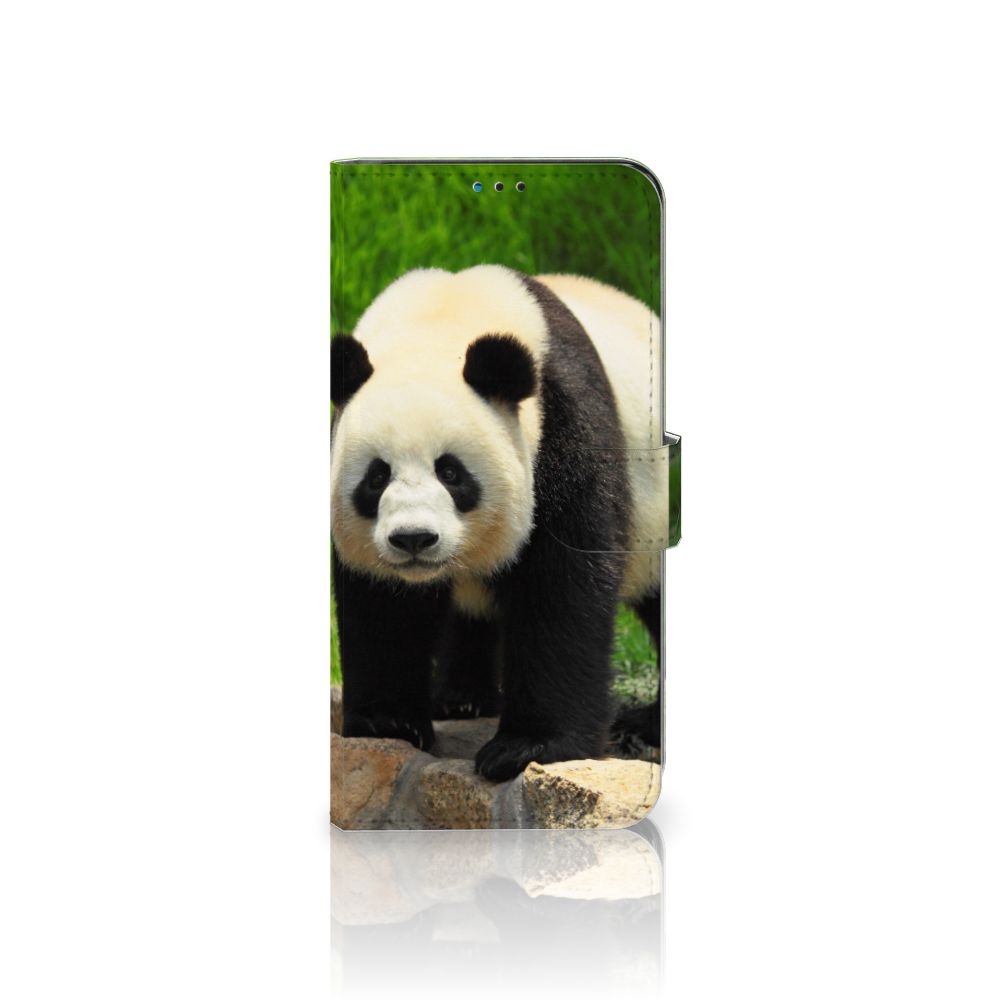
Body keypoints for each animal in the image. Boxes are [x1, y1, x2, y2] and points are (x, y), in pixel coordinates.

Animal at [331, 265, 666, 781]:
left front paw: (527, 747)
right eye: (377, 476)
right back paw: (461, 699)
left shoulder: (562, 427)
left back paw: (644, 724)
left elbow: (562, 585)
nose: (413, 539)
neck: (440, 322)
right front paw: (388, 722)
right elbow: (382, 604)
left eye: (451, 473)